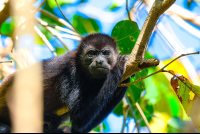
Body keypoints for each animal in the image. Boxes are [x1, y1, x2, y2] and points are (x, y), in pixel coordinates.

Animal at [0, 33, 130, 133]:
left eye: (106, 53)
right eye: (91, 54)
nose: (99, 61)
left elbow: (78, 129)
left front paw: (126, 78)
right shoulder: (70, 71)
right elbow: (79, 119)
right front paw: (119, 65)